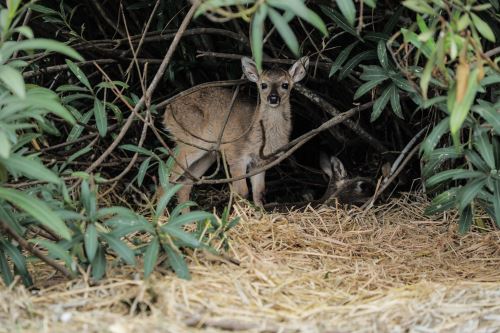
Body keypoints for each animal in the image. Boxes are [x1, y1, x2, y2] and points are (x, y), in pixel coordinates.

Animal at [164, 55, 308, 209]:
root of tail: (166, 111)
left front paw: (259, 211)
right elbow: (242, 192)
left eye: (285, 85)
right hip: (188, 140)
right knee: (167, 177)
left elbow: (258, 193)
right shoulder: (235, 154)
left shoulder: (260, 162)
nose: (273, 98)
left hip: (208, 153)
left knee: (184, 184)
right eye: (263, 85)